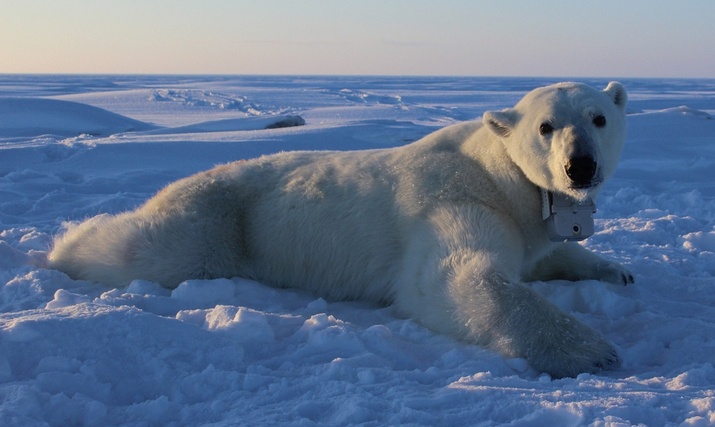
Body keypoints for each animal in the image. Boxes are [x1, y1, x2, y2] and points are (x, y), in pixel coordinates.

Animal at [49, 82, 632, 380]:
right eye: (546, 126)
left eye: (599, 117)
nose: (580, 166)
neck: (497, 173)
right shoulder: (455, 200)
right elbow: (454, 278)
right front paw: (591, 350)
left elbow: (547, 254)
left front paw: (616, 271)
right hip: (218, 222)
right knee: (145, 249)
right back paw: (62, 245)